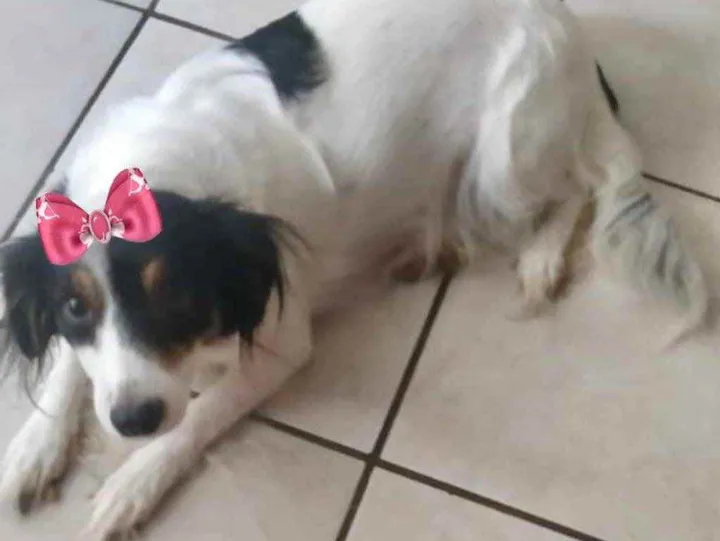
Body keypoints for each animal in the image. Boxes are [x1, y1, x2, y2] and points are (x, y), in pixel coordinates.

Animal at [0, 0, 708, 538]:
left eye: (173, 295)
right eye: (75, 306)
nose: (132, 422)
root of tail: (573, 37)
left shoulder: (282, 342)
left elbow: (199, 418)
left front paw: (133, 482)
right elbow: (72, 367)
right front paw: (35, 446)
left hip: (505, 161)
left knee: (576, 186)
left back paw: (537, 256)